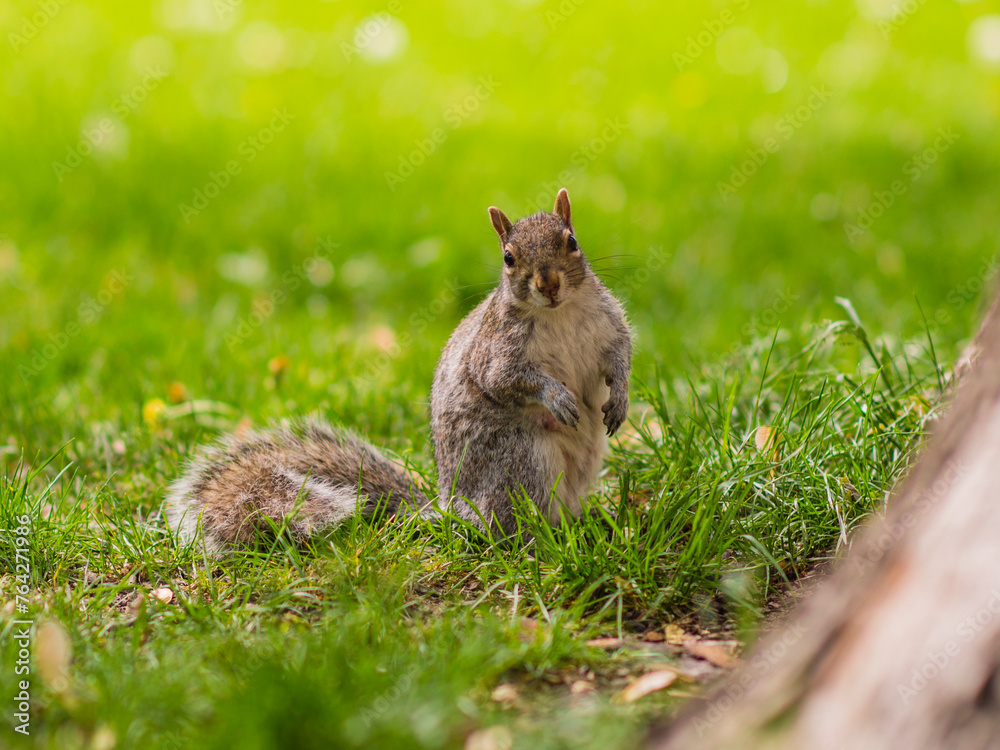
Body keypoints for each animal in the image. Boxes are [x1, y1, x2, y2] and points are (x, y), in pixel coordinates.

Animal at [166, 188, 633, 552]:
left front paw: (620, 400)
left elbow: (620, 357)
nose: (548, 284)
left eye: (571, 240)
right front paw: (558, 397)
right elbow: (505, 380)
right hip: (522, 460)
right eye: (508, 258)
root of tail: (453, 509)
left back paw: (588, 525)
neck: (559, 312)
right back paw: (542, 543)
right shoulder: (497, 351)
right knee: (510, 524)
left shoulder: (609, 327)